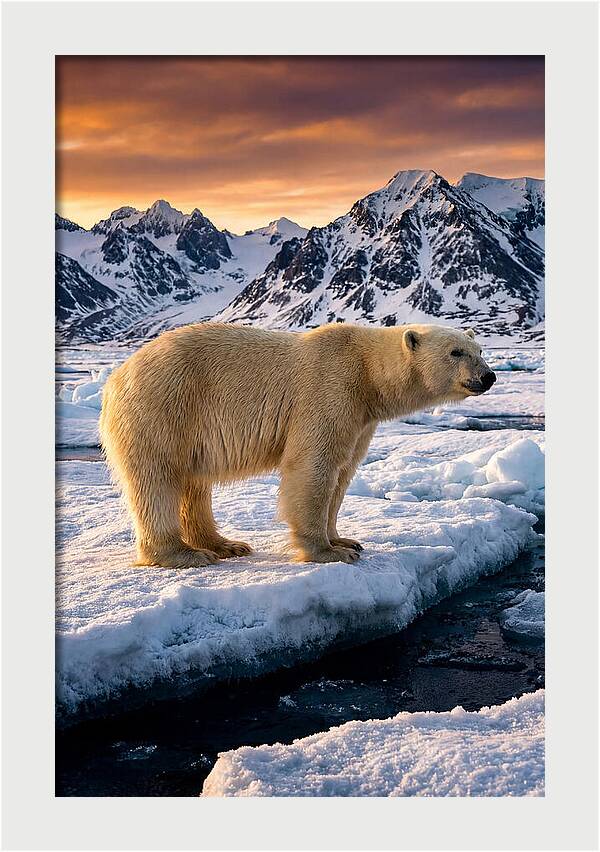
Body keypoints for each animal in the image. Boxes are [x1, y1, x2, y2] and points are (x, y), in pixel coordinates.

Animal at [99, 322, 496, 568]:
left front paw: (345, 540)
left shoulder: (360, 418)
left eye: (479, 349)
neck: (368, 373)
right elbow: (313, 467)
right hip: (164, 406)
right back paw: (184, 554)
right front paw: (327, 552)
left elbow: (343, 472)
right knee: (158, 478)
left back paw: (224, 544)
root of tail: (117, 377)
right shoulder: (330, 388)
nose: (489, 376)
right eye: (456, 352)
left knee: (194, 484)